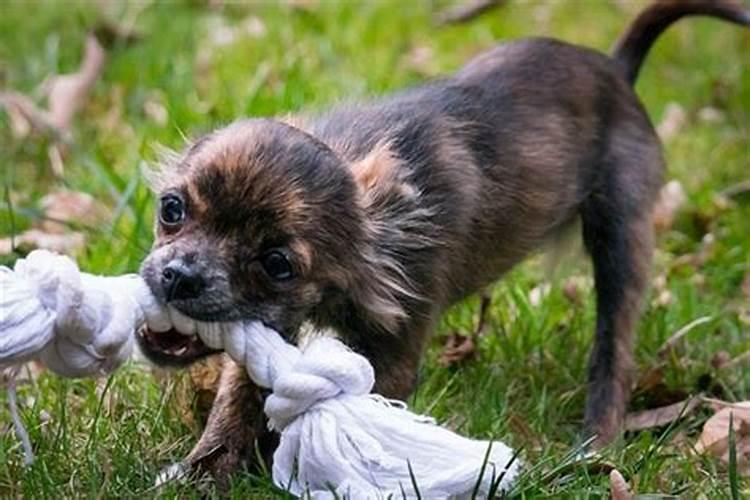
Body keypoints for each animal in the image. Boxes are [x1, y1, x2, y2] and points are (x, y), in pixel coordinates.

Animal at [137, 0, 750, 484]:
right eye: (172, 209)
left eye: (277, 263)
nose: (179, 276)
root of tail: (616, 69)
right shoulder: (269, 332)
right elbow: (235, 404)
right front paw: (202, 474)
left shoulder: (394, 348)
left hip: (622, 236)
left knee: (614, 351)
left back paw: (593, 445)